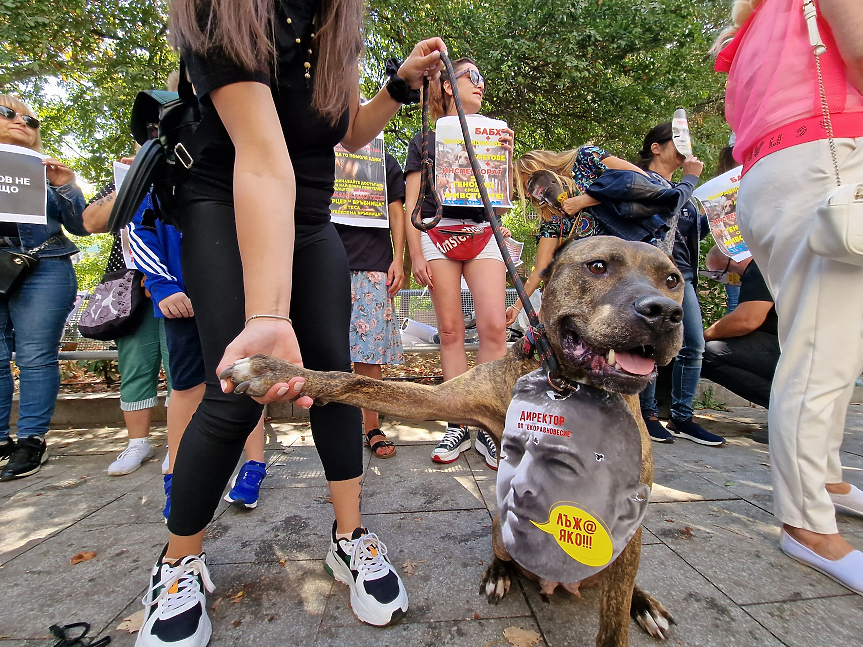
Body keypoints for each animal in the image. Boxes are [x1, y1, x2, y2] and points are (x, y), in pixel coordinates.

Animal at [223, 238, 688, 647]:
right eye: (598, 266)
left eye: (672, 279)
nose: (665, 313)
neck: (568, 387)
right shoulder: (440, 398)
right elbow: (352, 381)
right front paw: (274, 370)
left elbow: (613, 624)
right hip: (503, 524)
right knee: (508, 553)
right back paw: (500, 574)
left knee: (623, 583)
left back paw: (644, 605)